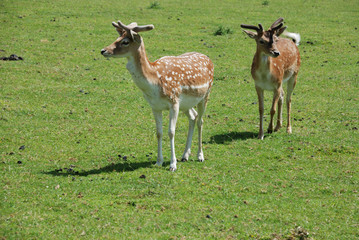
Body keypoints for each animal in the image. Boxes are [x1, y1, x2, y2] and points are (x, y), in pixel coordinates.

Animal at [101, 20, 214, 171]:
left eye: (125, 41)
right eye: (117, 38)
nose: (103, 50)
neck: (155, 82)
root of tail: (209, 59)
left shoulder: (174, 102)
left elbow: (171, 132)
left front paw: (172, 165)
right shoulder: (155, 106)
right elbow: (159, 132)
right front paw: (159, 161)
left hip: (205, 94)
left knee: (201, 120)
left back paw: (200, 156)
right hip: (186, 103)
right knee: (193, 116)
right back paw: (185, 155)